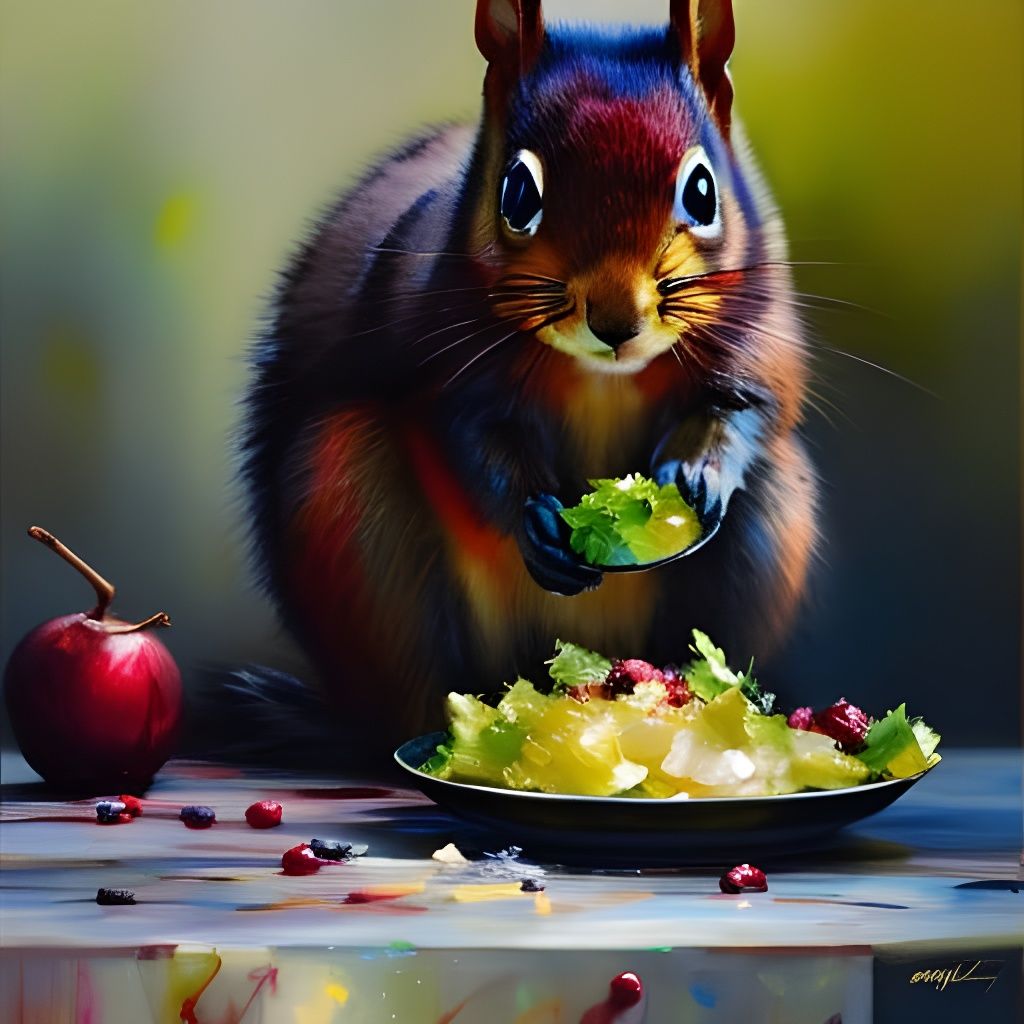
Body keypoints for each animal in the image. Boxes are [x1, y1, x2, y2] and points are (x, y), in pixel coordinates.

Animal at [241, 0, 817, 751]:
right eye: (516, 191)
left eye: (702, 190)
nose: (615, 320)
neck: (604, 373)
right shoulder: (439, 346)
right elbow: (466, 429)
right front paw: (533, 518)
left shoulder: (760, 332)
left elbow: (752, 403)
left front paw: (701, 472)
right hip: (351, 524)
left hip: (766, 536)